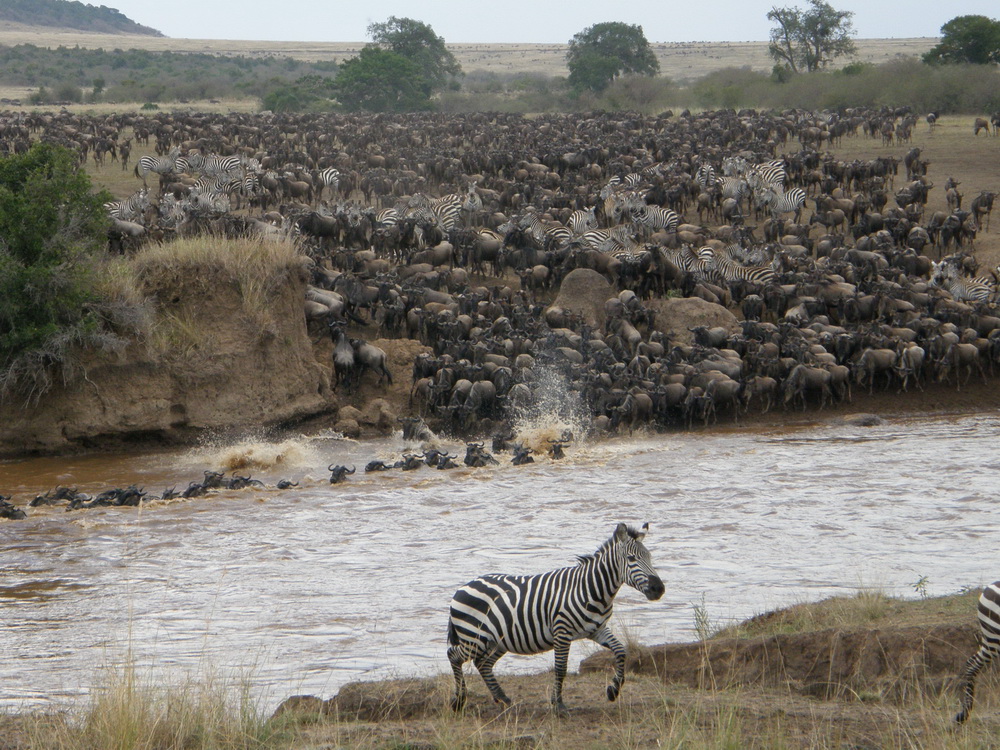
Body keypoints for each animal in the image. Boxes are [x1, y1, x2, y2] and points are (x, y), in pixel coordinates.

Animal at [448, 524, 664, 712]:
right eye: (631, 558)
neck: (590, 590)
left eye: (650, 557)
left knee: (483, 664)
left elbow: (620, 651)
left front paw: (613, 690)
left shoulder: (597, 629)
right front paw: (558, 704)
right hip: (474, 638)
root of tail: (463, 587)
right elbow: (560, 668)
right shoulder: (562, 631)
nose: (659, 589)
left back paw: (502, 698)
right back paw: (459, 701)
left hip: (498, 640)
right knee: (454, 656)